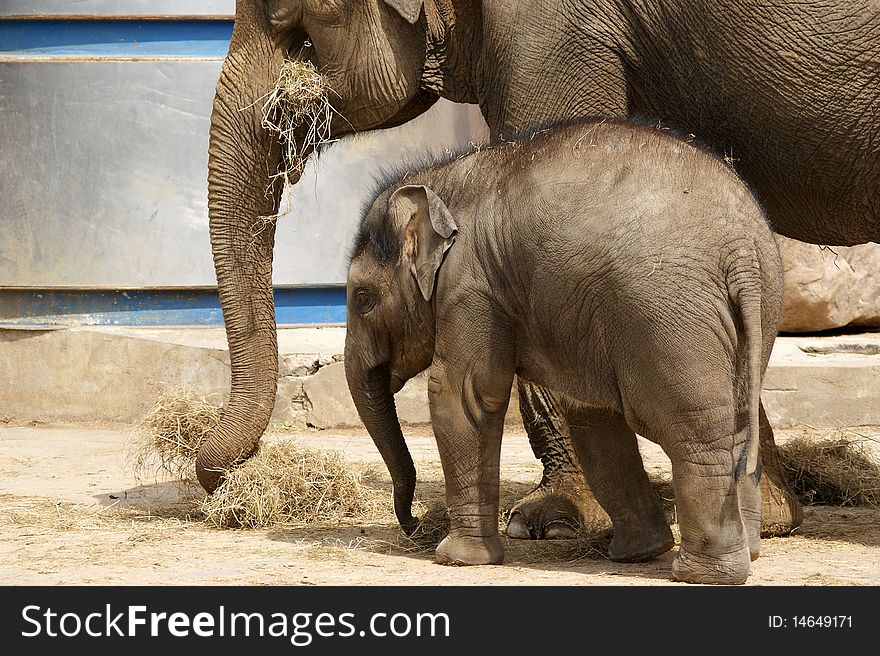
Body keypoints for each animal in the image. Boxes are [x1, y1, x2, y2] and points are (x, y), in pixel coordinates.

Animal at [344, 119, 784, 584]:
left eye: (363, 298)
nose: (411, 524)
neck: (443, 178)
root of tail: (741, 253)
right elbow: (591, 414)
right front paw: (636, 554)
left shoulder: (469, 287)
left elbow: (462, 396)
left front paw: (455, 558)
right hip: (755, 311)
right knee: (734, 424)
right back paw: (747, 552)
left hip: (669, 317)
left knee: (691, 430)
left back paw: (704, 573)